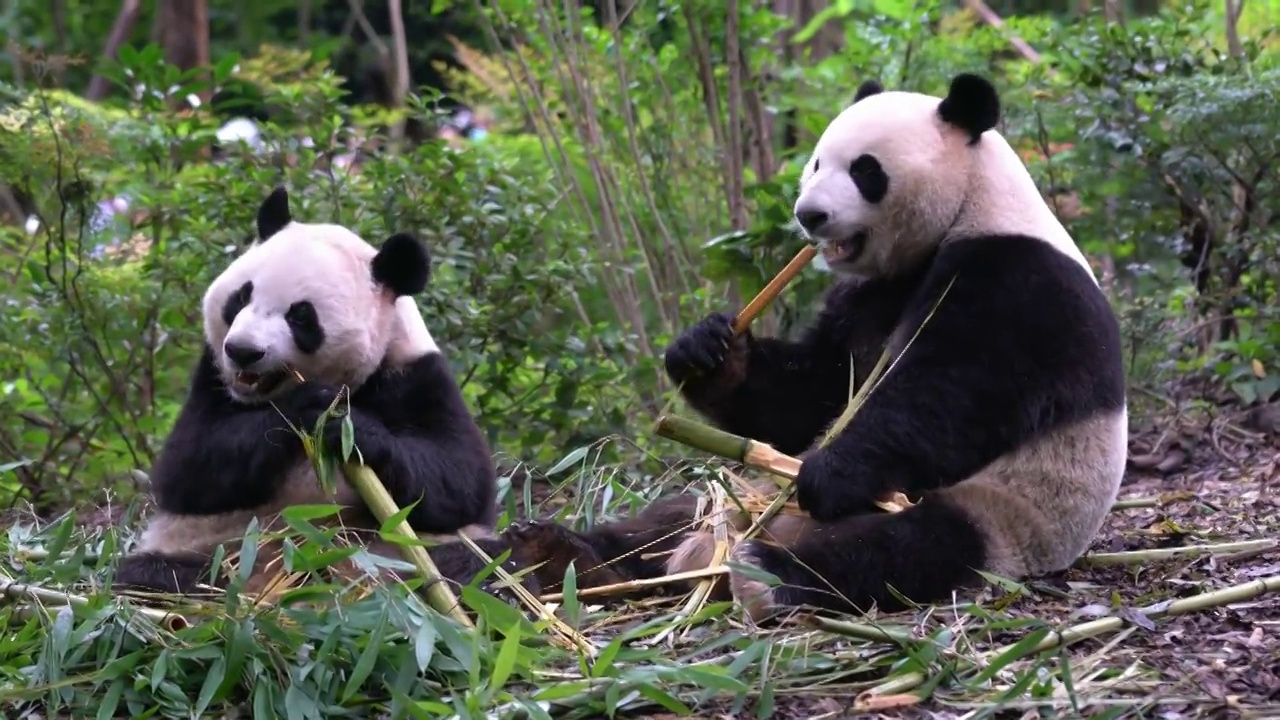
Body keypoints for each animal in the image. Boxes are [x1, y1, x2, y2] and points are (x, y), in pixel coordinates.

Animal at [112, 185, 527, 599]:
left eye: (300, 315)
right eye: (241, 297)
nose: (243, 351)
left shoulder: (415, 374)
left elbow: (462, 482)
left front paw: (349, 427)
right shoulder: (213, 378)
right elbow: (187, 470)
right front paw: (307, 407)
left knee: (484, 565)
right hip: (209, 545)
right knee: (150, 575)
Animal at [504, 74, 1126, 622]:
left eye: (866, 170)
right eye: (818, 162)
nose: (810, 215)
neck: (971, 205)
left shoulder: (1019, 280)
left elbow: (955, 393)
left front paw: (829, 473)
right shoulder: (867, 293)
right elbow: (811, 393)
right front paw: (705, 352)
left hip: (1000, 516)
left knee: (901, 550)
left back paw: (766, 573)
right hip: (728, 495)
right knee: (663, 520)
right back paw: (560, 553)